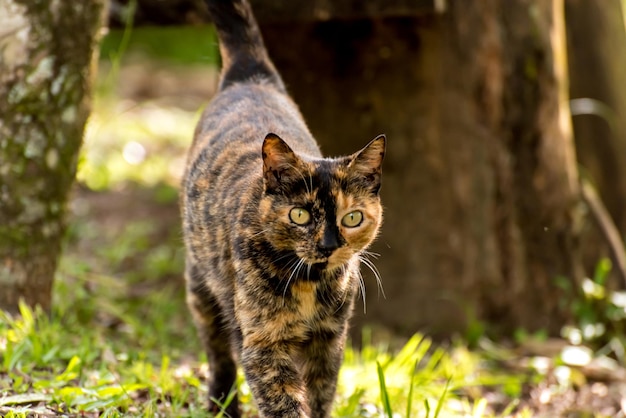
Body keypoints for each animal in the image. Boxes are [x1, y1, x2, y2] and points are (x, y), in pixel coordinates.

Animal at [179, 1, 386, 416]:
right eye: (300, 215)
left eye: (352, 218)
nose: (328, 245)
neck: (310, 282)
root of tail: (250, 75)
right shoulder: (263, 343)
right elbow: (284, 403)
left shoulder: (329, 341)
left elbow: (320, 396)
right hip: (200, 287)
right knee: (219, 353)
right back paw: (221, 404)